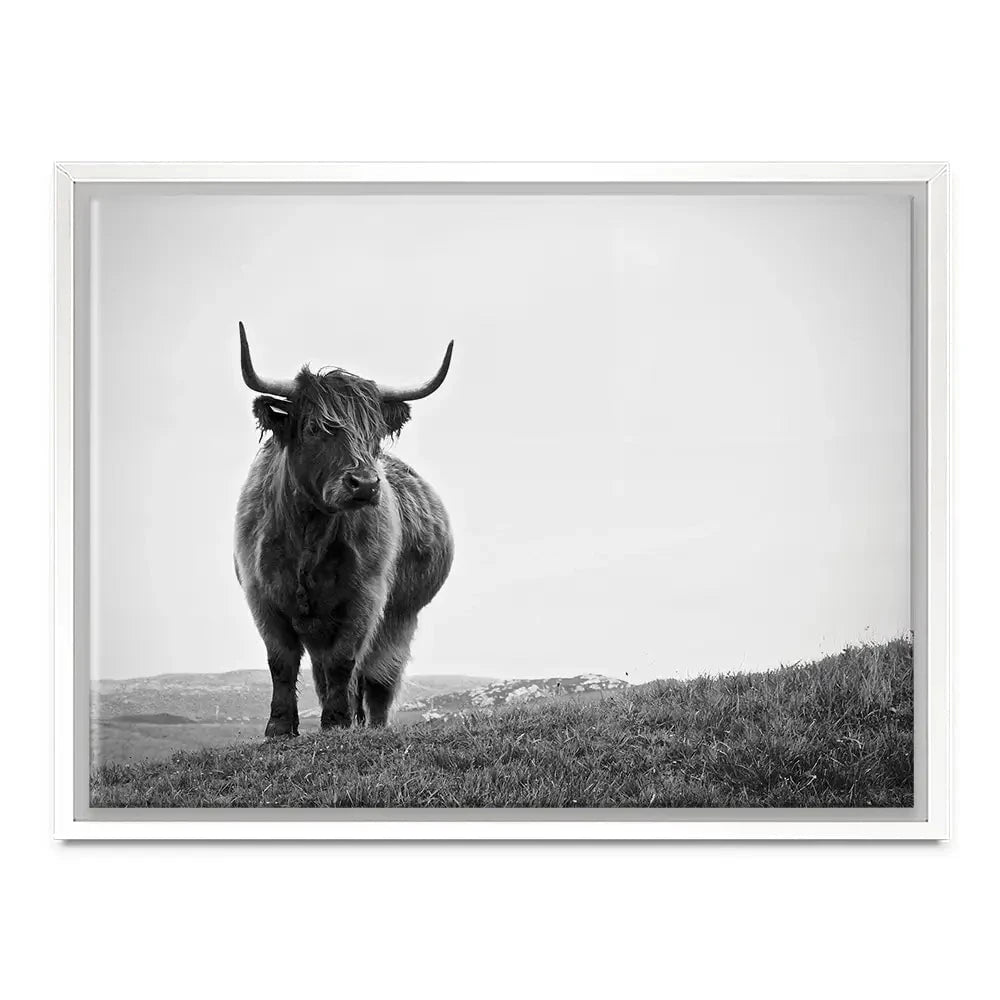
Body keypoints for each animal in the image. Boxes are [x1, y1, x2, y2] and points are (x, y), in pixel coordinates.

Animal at [233, 322, 455, 735]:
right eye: (314, 428)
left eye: (374, 433)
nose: (365, 484)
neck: (309, 534)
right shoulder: (261, 596)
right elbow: (281, 661)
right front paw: (279, 727)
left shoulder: (365, 598)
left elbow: (344, 662)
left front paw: (336, 723)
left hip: (400, 618)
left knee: (378, 678)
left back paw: (370, 724)